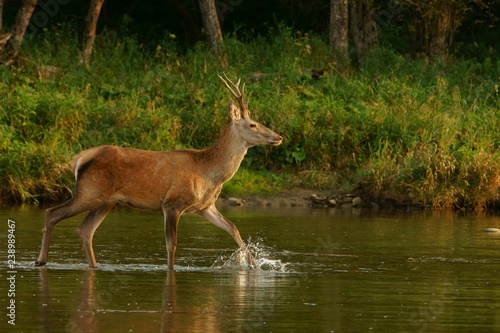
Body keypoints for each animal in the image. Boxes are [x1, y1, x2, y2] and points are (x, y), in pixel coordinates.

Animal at [34, 74, 286, 268]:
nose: (278, 137)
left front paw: (254, 265)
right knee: (52, 212)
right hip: (89, 192)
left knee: (85, 230)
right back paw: (41, 260)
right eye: (253, 124)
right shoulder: (172, 203)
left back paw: (93, 265)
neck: (209, 173)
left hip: (106, 201)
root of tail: (78, 159)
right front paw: (170, 270)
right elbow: (171, 244)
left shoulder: (205, 206)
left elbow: (233, 228)